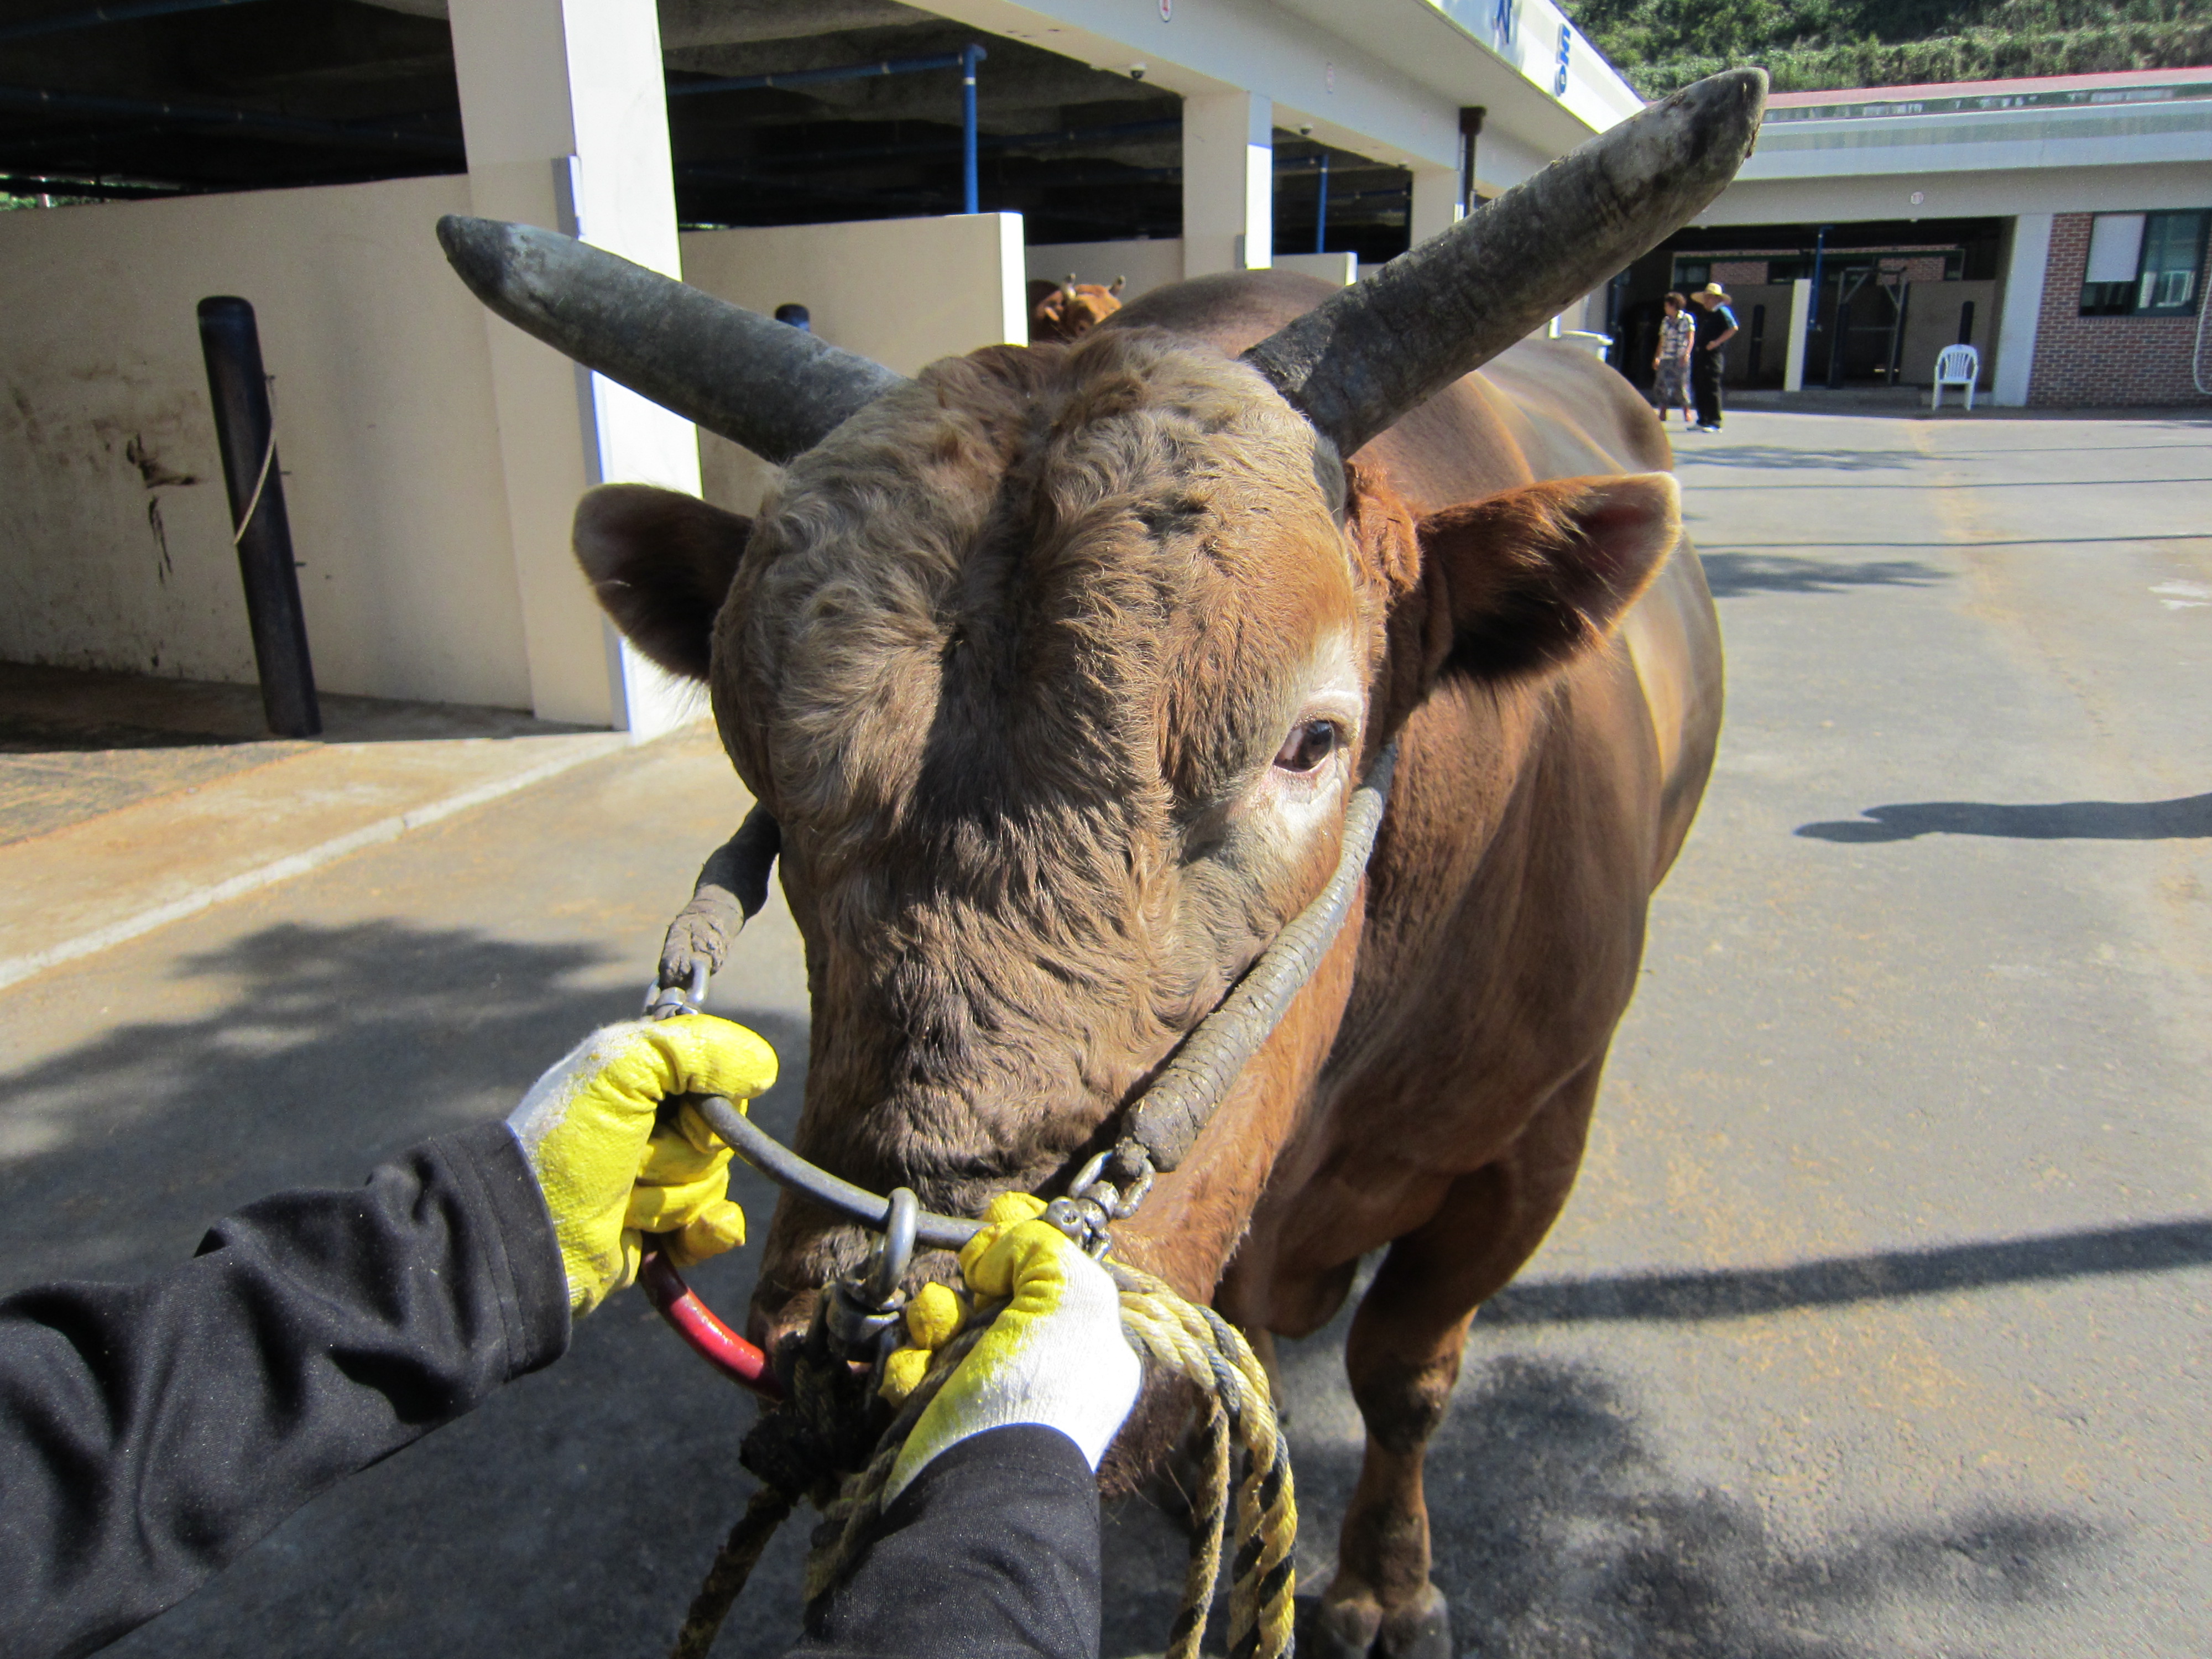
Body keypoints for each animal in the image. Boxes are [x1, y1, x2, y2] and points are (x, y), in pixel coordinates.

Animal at [440, 75, 1761, 1659]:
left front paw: (1384, 1580)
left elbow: (1405, 1371)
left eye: (1312, 741)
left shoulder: (1528, 1144)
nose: (871, 1341)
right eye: (762, 766)